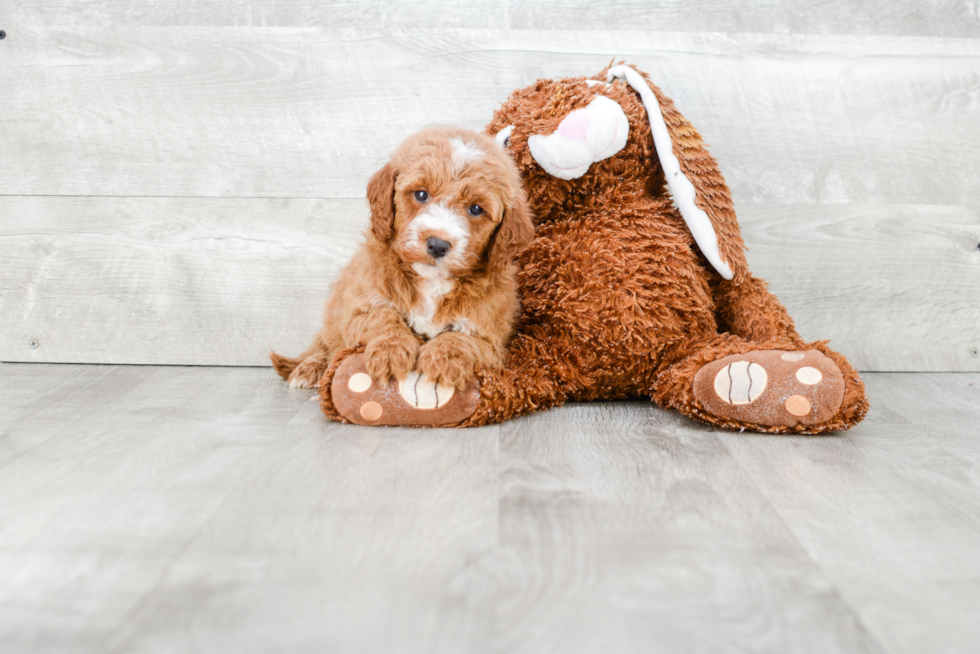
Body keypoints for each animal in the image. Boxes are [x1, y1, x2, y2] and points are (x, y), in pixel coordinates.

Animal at [270, 129, 536, 394]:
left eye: (476, 209)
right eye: (421, 194)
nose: (437, 244)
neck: (431, 282)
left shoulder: (492, 340)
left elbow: (464, 338)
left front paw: (444, 359)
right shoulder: (358, 308)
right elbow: (381, 318)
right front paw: (391, 350)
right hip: (334, 311)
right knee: (323, 344)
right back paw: (309, 368)